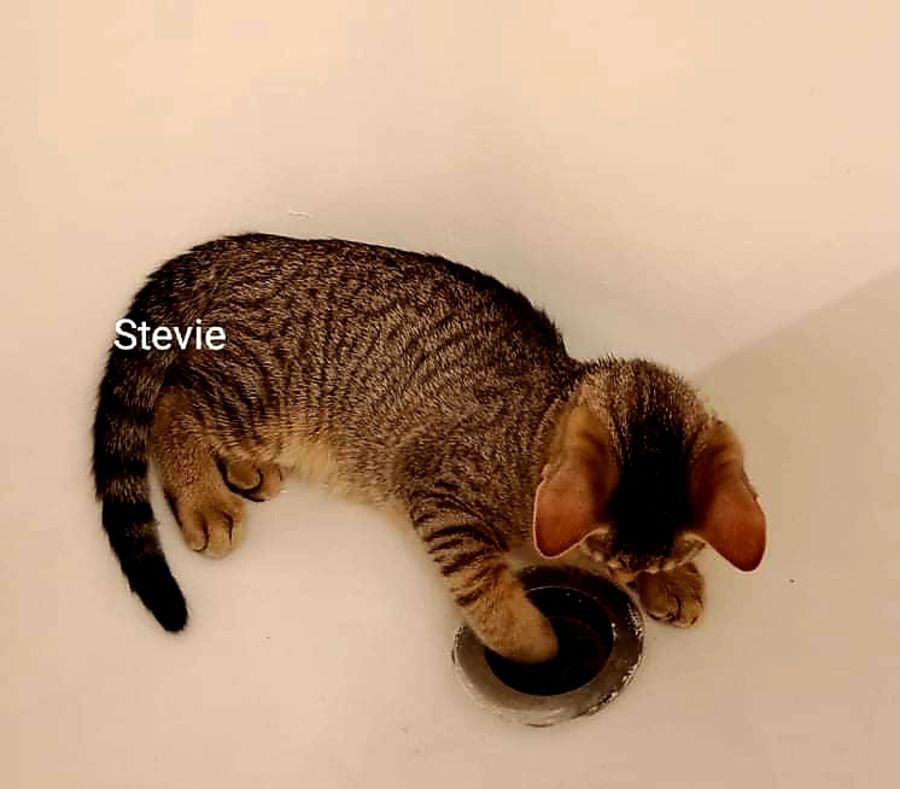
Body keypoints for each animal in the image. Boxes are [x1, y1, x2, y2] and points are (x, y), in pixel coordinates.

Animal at [92, 234, 766, 663]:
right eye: (611, 558)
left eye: (637, 566)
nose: (641, 575)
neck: (537, 416)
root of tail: (245, 246)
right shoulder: (441, 495)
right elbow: (486, 587)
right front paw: (537, 647)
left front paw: (673, 579)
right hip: (261, 395)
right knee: (172, 403)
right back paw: (206, 501)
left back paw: (243, 471)